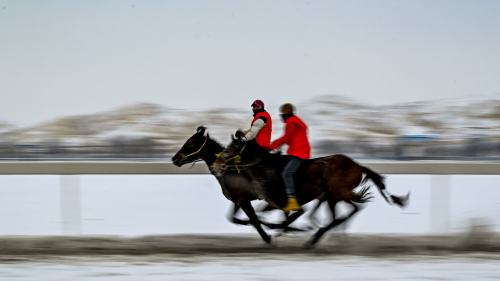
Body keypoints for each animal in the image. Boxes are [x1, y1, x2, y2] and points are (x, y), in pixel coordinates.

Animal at [211, 131, 410, 245]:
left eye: (230, 148)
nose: (216, 165)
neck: (266, 167)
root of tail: (357, 165)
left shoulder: (284, 201)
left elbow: (286, 218)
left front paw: (285, 231)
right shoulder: (271, 201)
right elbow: (270, 219)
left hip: (338, 192)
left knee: (353, 209)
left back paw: (317, 236)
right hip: (334, 196)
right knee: (345, 212)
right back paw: (322, 234)